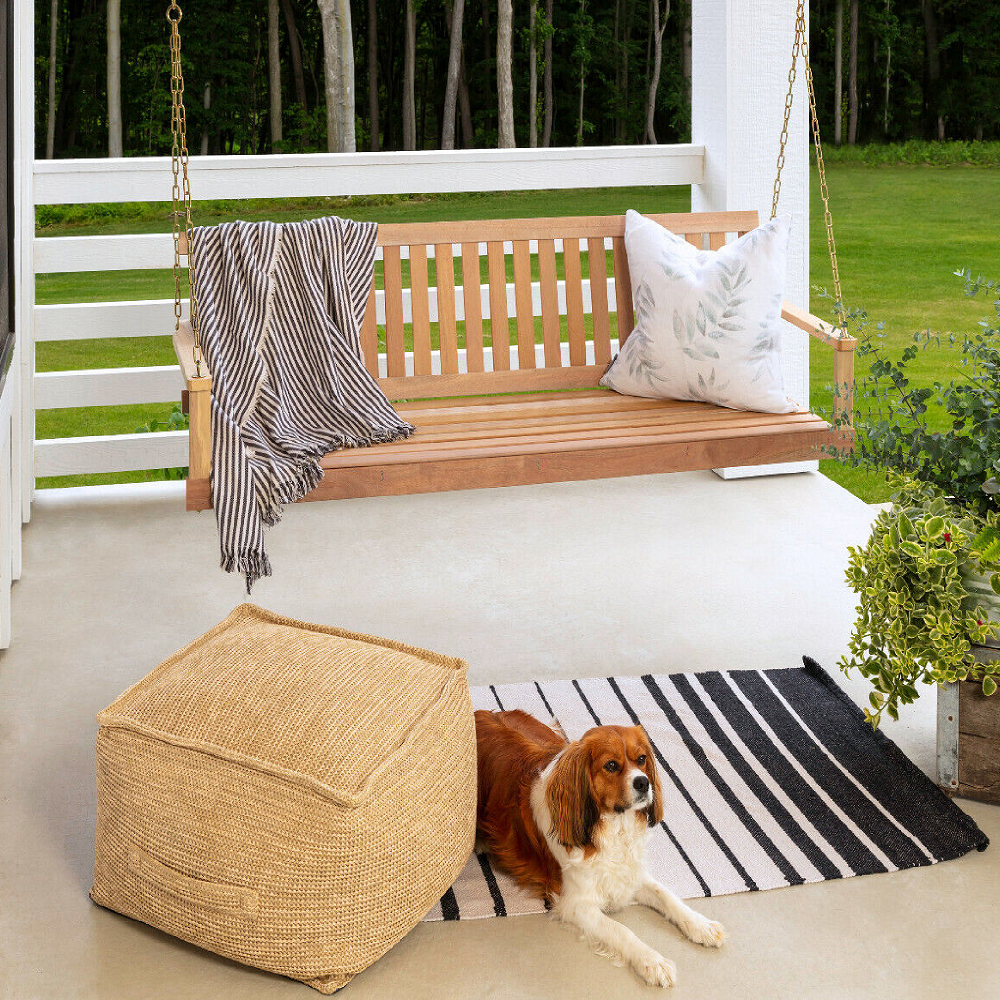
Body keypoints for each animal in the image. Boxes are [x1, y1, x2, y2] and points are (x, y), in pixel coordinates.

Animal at [472, 708, 724, 988]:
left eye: (641, 759)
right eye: (611, 765)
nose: (644, 782)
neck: (613, 828)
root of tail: (480, 713)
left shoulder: (630, 875)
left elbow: (668, 897)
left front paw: (701, 925)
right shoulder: (575, 904)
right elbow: (622, 931)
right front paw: (652, 961)